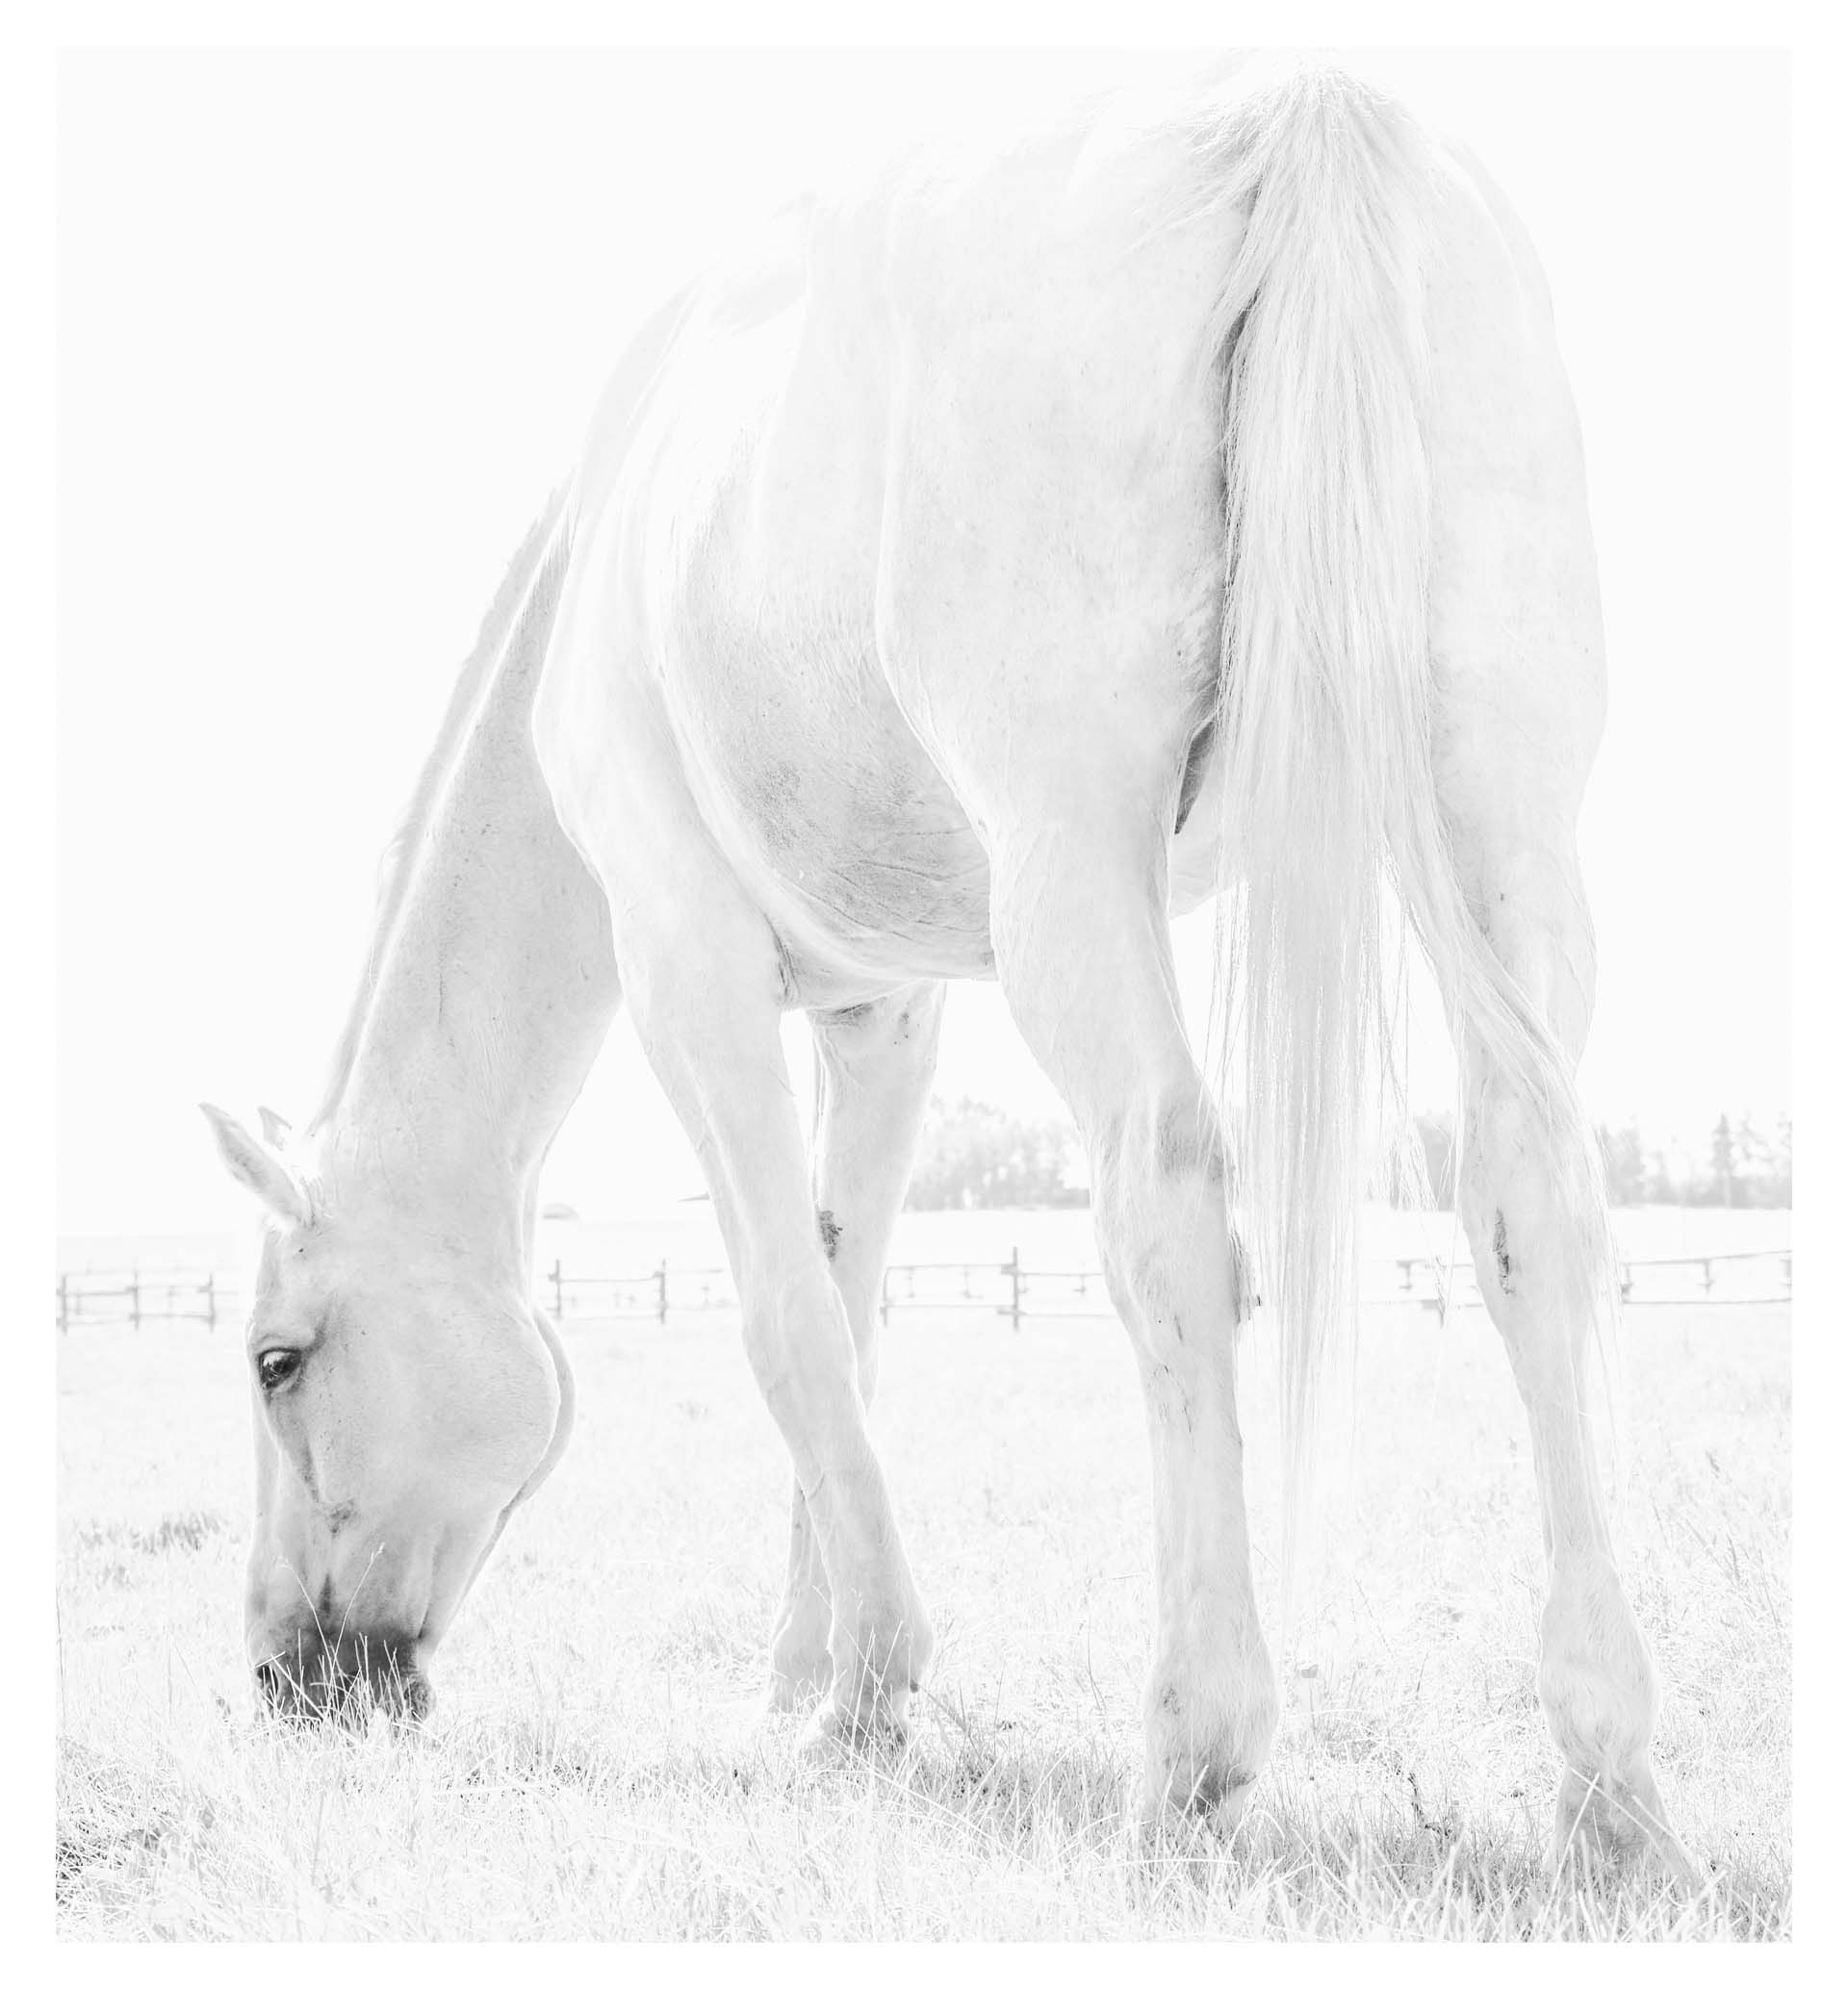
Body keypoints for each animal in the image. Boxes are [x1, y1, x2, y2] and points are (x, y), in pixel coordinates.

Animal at [202, 56, 1692, 1880]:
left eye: (278, 1360)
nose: (284, 1674)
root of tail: (1287, 109)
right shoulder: (880, 1014)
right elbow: (848, 1313)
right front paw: (810, 1670)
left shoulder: (687, 964)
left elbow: (783, 1321)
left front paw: (866, 1690)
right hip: (1507, 836)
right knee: (1532, 1201)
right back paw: (1609, 1783)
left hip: (1077, 871)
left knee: (1169, 1201)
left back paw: (1194, 1751)